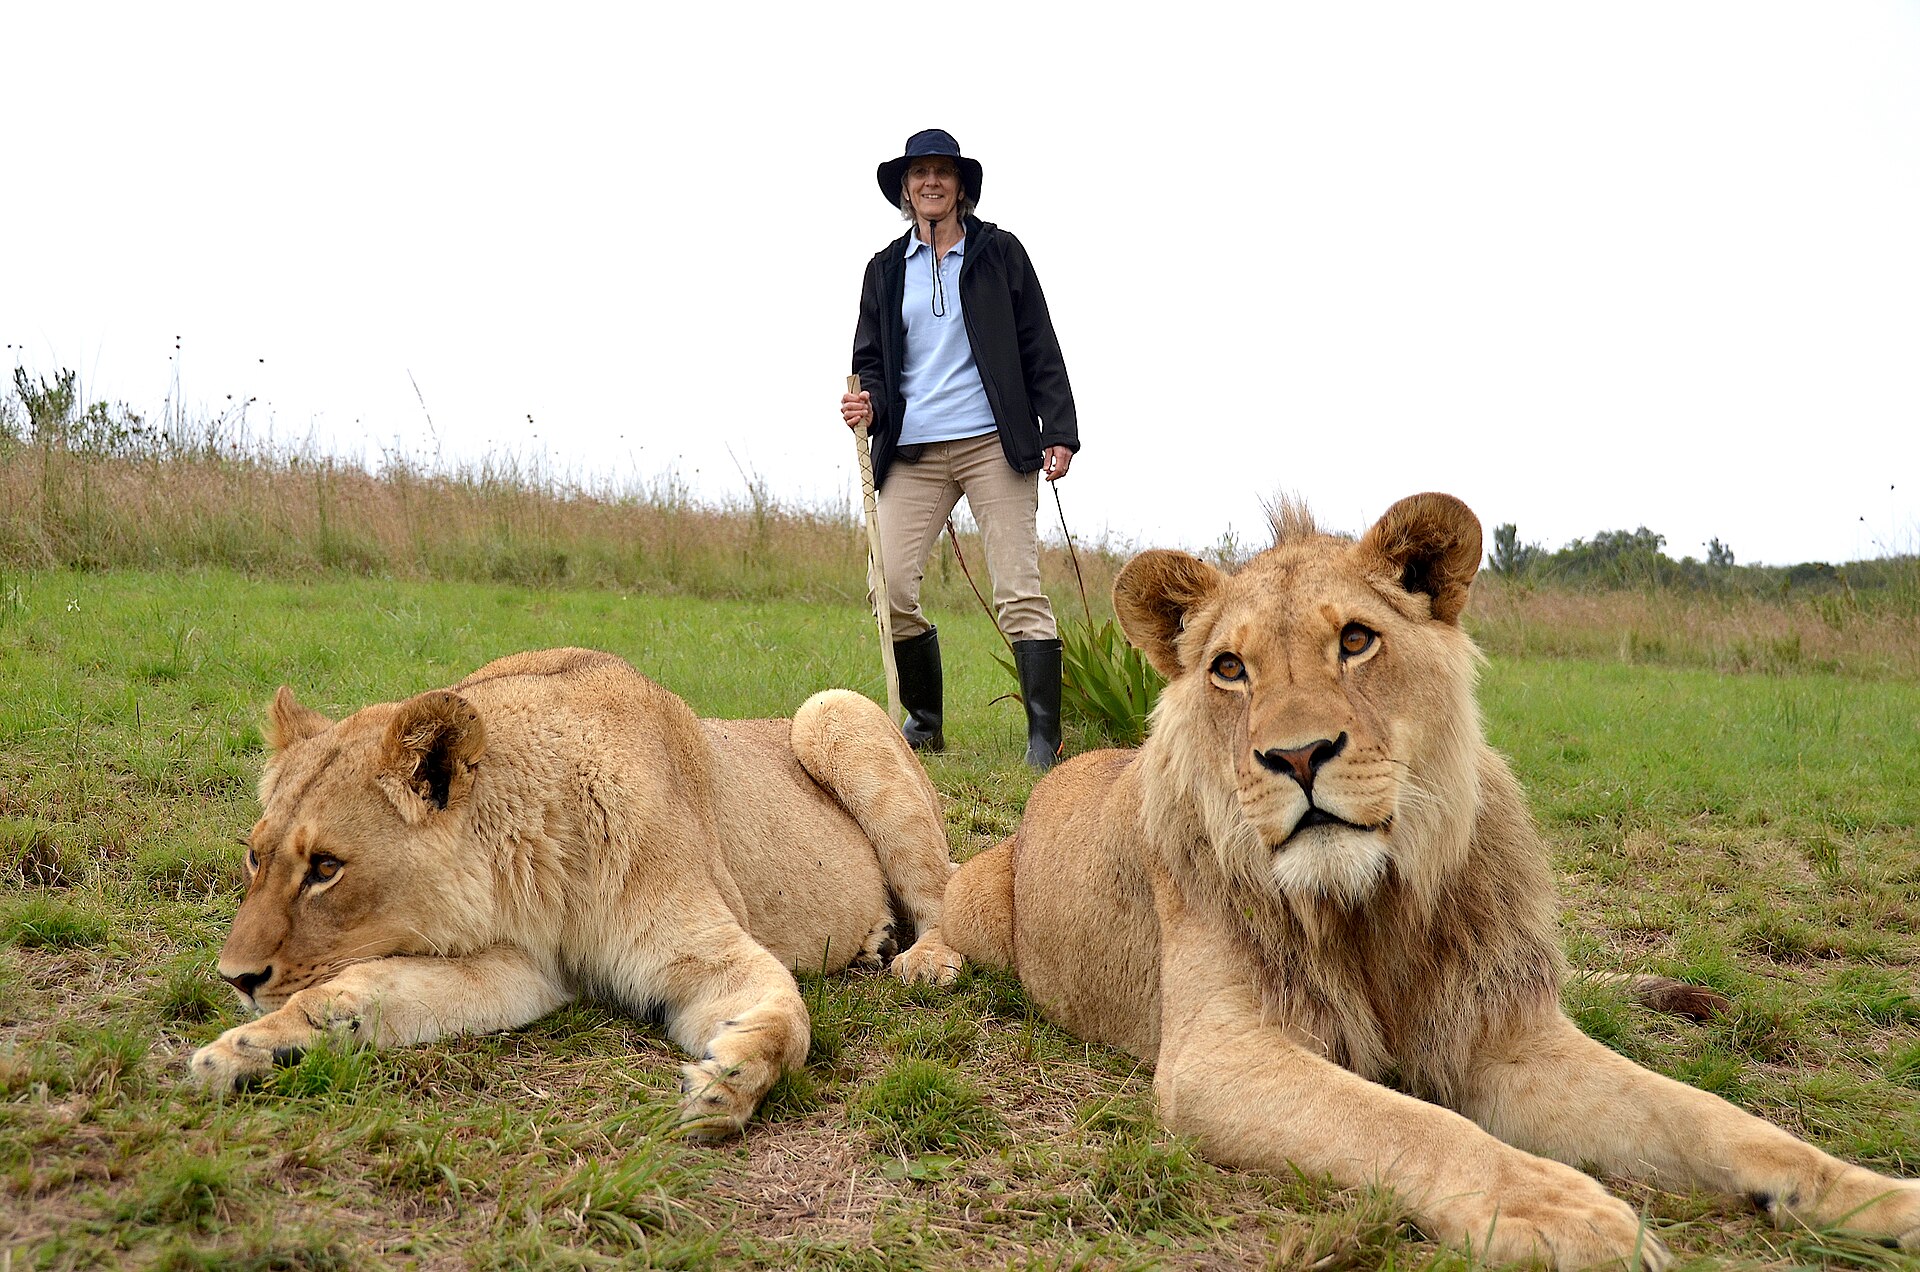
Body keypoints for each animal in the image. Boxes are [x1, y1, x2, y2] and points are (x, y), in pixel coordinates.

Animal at [191, 648, 964, 1138]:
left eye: (325, 867)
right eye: (255, 857)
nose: (236, 978)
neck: (525, 874)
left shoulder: (708, 952)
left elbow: (788, 1025)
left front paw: (726, 1085)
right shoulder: (521, 967)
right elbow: (360, 993)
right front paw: (250, 1049)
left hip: (834, 713)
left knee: (941, 890)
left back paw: (923, 959)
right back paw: (873, 939)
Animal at [943, 494, 1920, 1267]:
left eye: (1356, 641)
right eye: (1229, 668)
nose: (1297, 756)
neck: (1370, 901)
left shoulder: (1503, 1034)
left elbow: (1707, 1116)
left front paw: (1874, 1198)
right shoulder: (1216, 1055)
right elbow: (1408, 1122)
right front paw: (1560, 1209)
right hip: (973, 900)